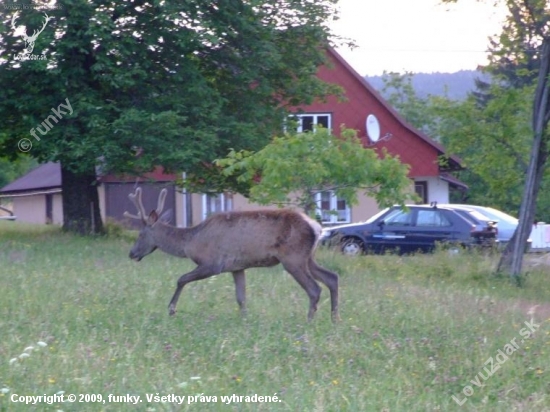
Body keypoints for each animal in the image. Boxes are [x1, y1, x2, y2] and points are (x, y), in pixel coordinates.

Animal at [125, 187, 340, 322]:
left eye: (141, 234)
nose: (131, 253)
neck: (190, 242)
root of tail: (316, 227)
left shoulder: (213, 263)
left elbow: (181, 279)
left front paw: (171, 309)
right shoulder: (237, 267)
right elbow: (241, 297)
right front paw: (244, 320)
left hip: (293, 258)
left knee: (314, 289)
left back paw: (309, 321)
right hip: (308, 257)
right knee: (332, 277)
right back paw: (334, 319)